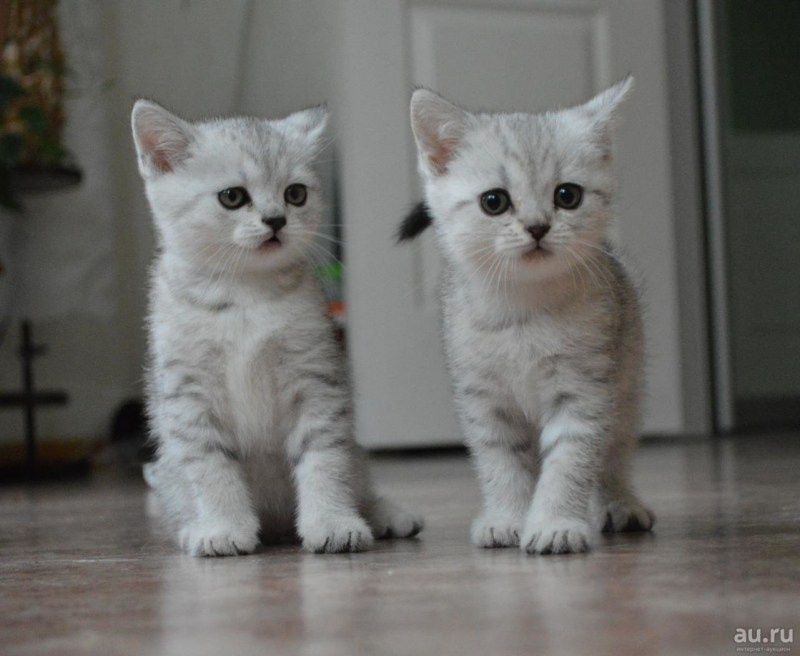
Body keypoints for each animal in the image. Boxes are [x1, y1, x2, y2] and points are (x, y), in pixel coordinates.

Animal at [132, 100, 422, 556]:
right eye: (233, 196)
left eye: (295, 194)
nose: (276, 220)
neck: (245, 294)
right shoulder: (188, 394)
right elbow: (210, 466)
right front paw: (223, 527)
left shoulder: (316, 380)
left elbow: (325, 459)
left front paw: (332, 522)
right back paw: (193, 526)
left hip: (357, 453)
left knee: (359, 479)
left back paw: (387, 515)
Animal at [402, 77, 654, 555]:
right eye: (494, 201)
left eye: (567, 195)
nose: (538, 227)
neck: (523, 311)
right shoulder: (484, 399)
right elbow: (500, 463)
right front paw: (507, 518)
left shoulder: (584, 391)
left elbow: (570, 462)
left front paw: (555, 523)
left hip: (626, 387)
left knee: (614, 453)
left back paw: (621, 503)